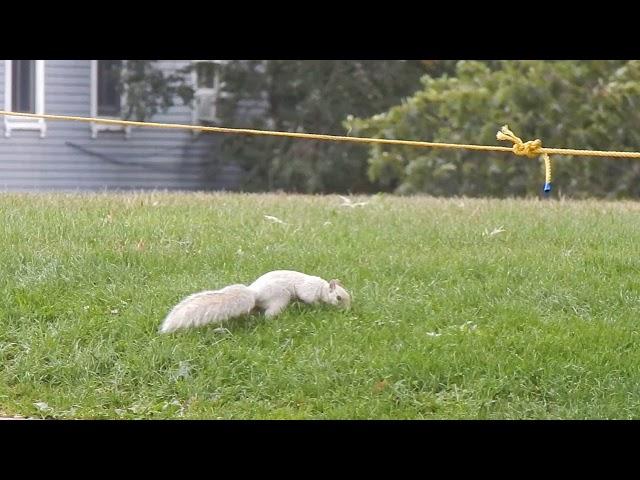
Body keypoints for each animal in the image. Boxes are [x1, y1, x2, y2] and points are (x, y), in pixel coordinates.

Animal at [159, 270, 350, 334]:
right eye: (339, 298)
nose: (346, 310)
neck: (322, 288)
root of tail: (254, 293)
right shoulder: (308, 290)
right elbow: (309, 299)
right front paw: (317, 307)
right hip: (279, 299)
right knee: (268, 315)